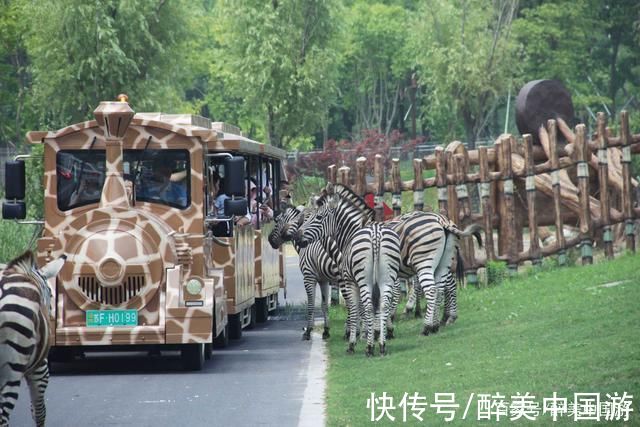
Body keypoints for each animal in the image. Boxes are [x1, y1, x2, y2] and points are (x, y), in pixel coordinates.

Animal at [266, 204, 344, 342]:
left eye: (277, 221)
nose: (269, 240)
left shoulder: (309, 277)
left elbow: (310, 305)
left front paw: (308, 331)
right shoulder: (323, 280)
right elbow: (324, 305)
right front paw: (326, 331)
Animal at [296, 184, 400, 358]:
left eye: (317, 217)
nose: (297, 237)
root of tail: (376, 233)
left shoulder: (348, 280)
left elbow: (354, 307)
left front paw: (355, 339)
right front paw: (369, 333)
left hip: (363, 280)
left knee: (369, 306)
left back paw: (369, 347)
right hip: (387, 277)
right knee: (384, 304)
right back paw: (382, 345)